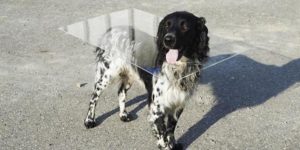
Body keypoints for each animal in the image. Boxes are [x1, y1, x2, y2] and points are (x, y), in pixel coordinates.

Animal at [83, 11, 210, 149]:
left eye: (185, 26)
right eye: (167, 25)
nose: (167, 39)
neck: (179, 67)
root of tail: (111, 30)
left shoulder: (178, 104)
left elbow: (171, 129)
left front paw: (173, 144)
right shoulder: (156, 108)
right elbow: (162, 135)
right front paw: (166, 145)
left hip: (129, 75)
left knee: (121, 91)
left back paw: (123, 114)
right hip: (106, 75)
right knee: (94, 96)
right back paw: (89, 120)